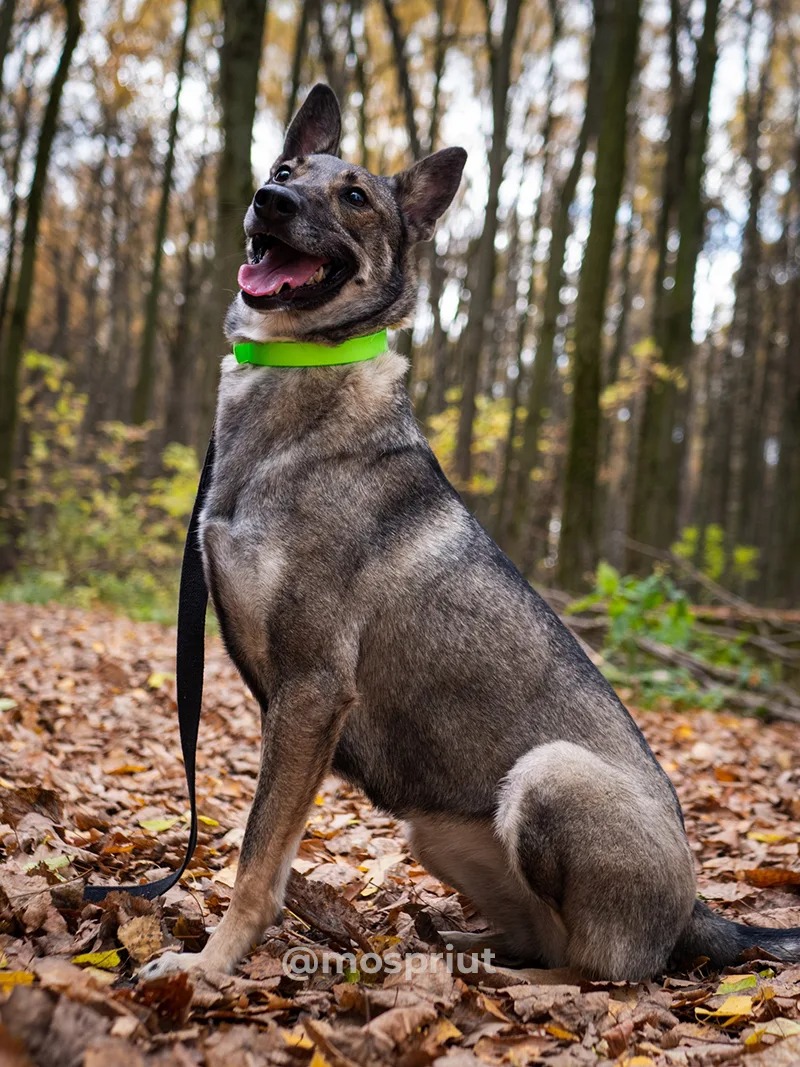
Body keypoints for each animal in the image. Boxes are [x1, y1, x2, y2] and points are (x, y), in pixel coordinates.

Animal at [142, 85, 800, 981]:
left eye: (354, 196)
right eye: (284, 169)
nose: (269, 200)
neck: (298, 377)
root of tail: (701, 914)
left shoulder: (312, 689)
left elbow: (256, 856)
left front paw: (209, 965)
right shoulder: (294, 703)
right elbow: (266, 851)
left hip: (548, 775)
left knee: (601, 968)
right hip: (435, 831)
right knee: (538, 932)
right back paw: (465, 949)